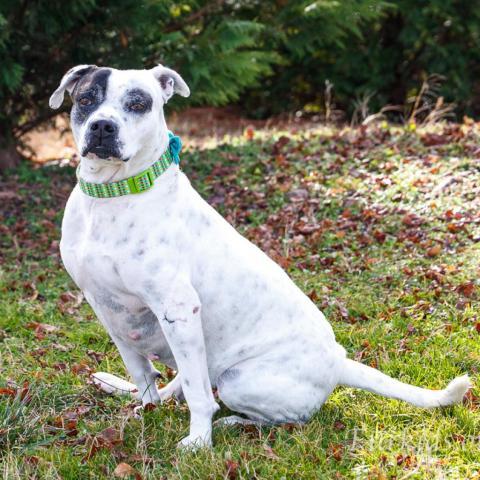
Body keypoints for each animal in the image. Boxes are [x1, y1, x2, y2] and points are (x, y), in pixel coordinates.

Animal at [50, 64, 470, 450]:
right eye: (86, 99)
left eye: (139, 103)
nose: (103, 127)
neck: (111, 196)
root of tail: (338, 361)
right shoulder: (107, 308)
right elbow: (141, 372)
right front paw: (144, 409)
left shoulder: (177, 309)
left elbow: (198, 396)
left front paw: (198, 442)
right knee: (185, 378)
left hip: (240, 380)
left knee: (280, 416)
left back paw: (233, 424)